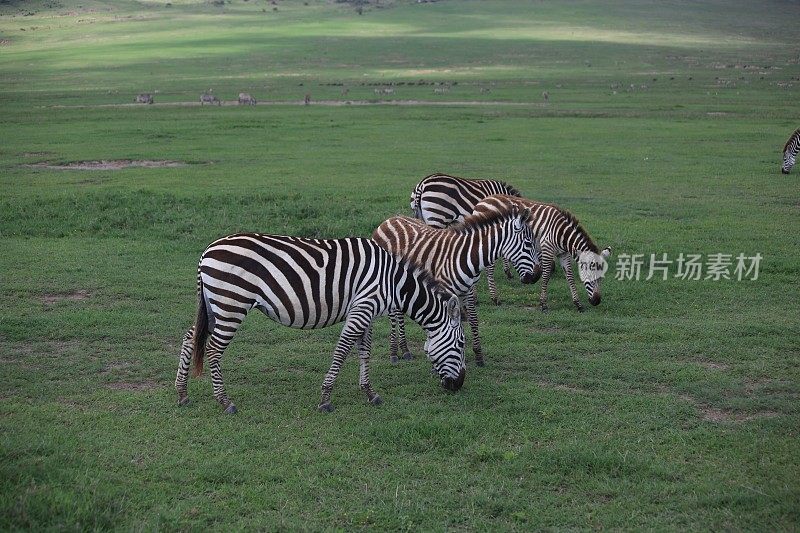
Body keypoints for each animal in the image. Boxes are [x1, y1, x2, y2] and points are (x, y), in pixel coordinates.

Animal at [172, 235, 466, 414]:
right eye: (461, 344)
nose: (459, 385)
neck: (392, 281)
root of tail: (208, 250)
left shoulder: (366, 311)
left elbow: (364, 352)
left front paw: (369, 393)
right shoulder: (363, 307)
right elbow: (342, 351)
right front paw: (325, 399)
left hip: (214, 305)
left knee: (190, 337)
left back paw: (182, 393)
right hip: (231, 303)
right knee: (213, 350)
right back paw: (225, 402)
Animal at [374, 197, 536, 368]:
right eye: (528, 244)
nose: (536, 276)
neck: (468, 256)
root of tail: (389, 220)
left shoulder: (468, 290)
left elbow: (473, 320)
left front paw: (478, 355)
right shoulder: (445, 291)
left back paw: (404, 349)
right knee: (393, 315)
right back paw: (394, 352)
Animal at [472, 194, 608, 312]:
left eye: (601, 278)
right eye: (589, 275)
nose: (596, 301)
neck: (562, 233)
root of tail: (483, 200)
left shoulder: (563, 254)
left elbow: (569, 277)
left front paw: (578, 304)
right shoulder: (547, 249)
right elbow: (546, 275)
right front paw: (543, 304)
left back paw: (476, 299)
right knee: (488, 268)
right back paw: (493, 298)